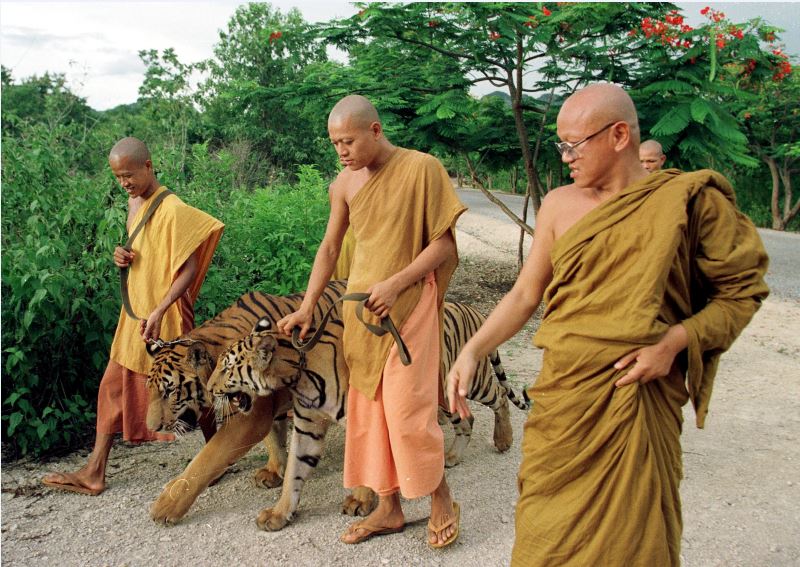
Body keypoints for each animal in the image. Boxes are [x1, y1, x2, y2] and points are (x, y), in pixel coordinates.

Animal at [143, 282, 376, 524]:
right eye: (150, 390)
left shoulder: (248, 420)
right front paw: (274, 471)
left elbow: (207, 458)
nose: (153, 428)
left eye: (170, 391)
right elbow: (274, 437)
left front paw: (166, 505)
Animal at [209, 302, 528, 532]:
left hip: (472, 381)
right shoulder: (307, 428)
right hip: (445, 396)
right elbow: (294, 474)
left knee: (500, 396)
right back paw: (451, 457)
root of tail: (472, 309)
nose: (210, 390)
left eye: (226, 368)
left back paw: (504, 439)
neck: (299, 377)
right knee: (467, 419)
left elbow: (366, 465)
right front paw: (278, 514)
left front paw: (360, 502)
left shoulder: (363, 423)